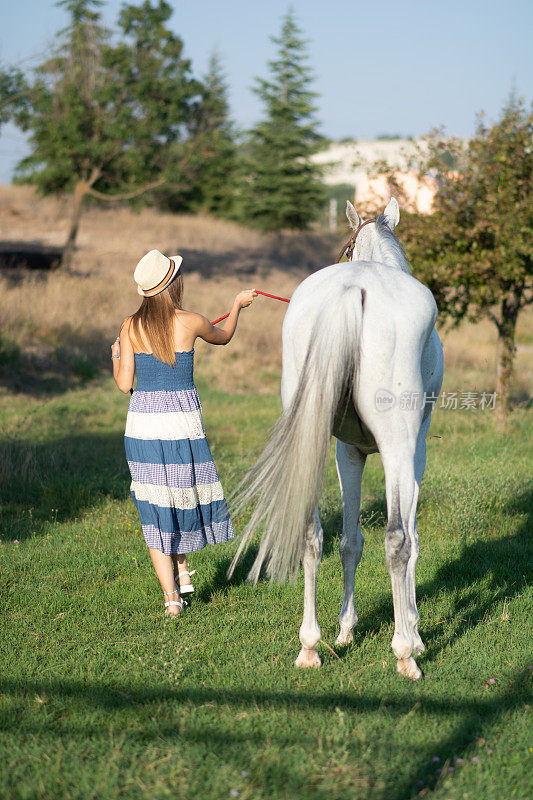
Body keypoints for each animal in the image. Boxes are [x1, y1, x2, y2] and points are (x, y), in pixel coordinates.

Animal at [231, 197, 442, 680]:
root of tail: (353, 289)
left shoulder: (348, 451)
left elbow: (349, 542)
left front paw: (346, 630)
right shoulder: (414, 450)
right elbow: (411, 540)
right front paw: (415, 631)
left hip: (313, 439)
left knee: (312, 535)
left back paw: (310, 647)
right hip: (399, 444)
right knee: (398, 540)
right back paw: (404, 654)